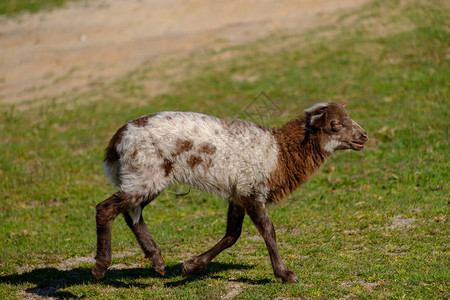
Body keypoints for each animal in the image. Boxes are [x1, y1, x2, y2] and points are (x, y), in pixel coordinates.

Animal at [93, 100, 368, 284]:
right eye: (335, 124)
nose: (363, 136)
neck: (280, 154)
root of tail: (116, 142)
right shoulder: (251, 190)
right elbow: (268, 231)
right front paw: (285, 274)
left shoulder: (238, 193)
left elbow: (232, 235)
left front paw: (191, 266)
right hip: (145, 172)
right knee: (106, 209)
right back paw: (101, 268)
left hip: (147, 177)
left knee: (131, 213)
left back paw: (157, 261)